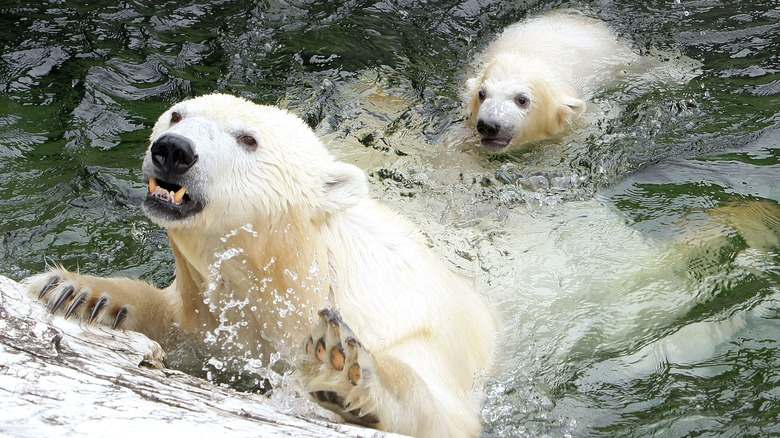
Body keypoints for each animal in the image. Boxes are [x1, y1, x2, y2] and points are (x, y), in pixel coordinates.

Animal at [27, 93, 500, 438]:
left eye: (248, 139)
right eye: (176, 116)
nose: (173, 150)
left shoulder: (408, 321)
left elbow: (440, 409)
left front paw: (341, 368)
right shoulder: (214, 325)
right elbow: (173, 321)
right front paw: (75, 292)